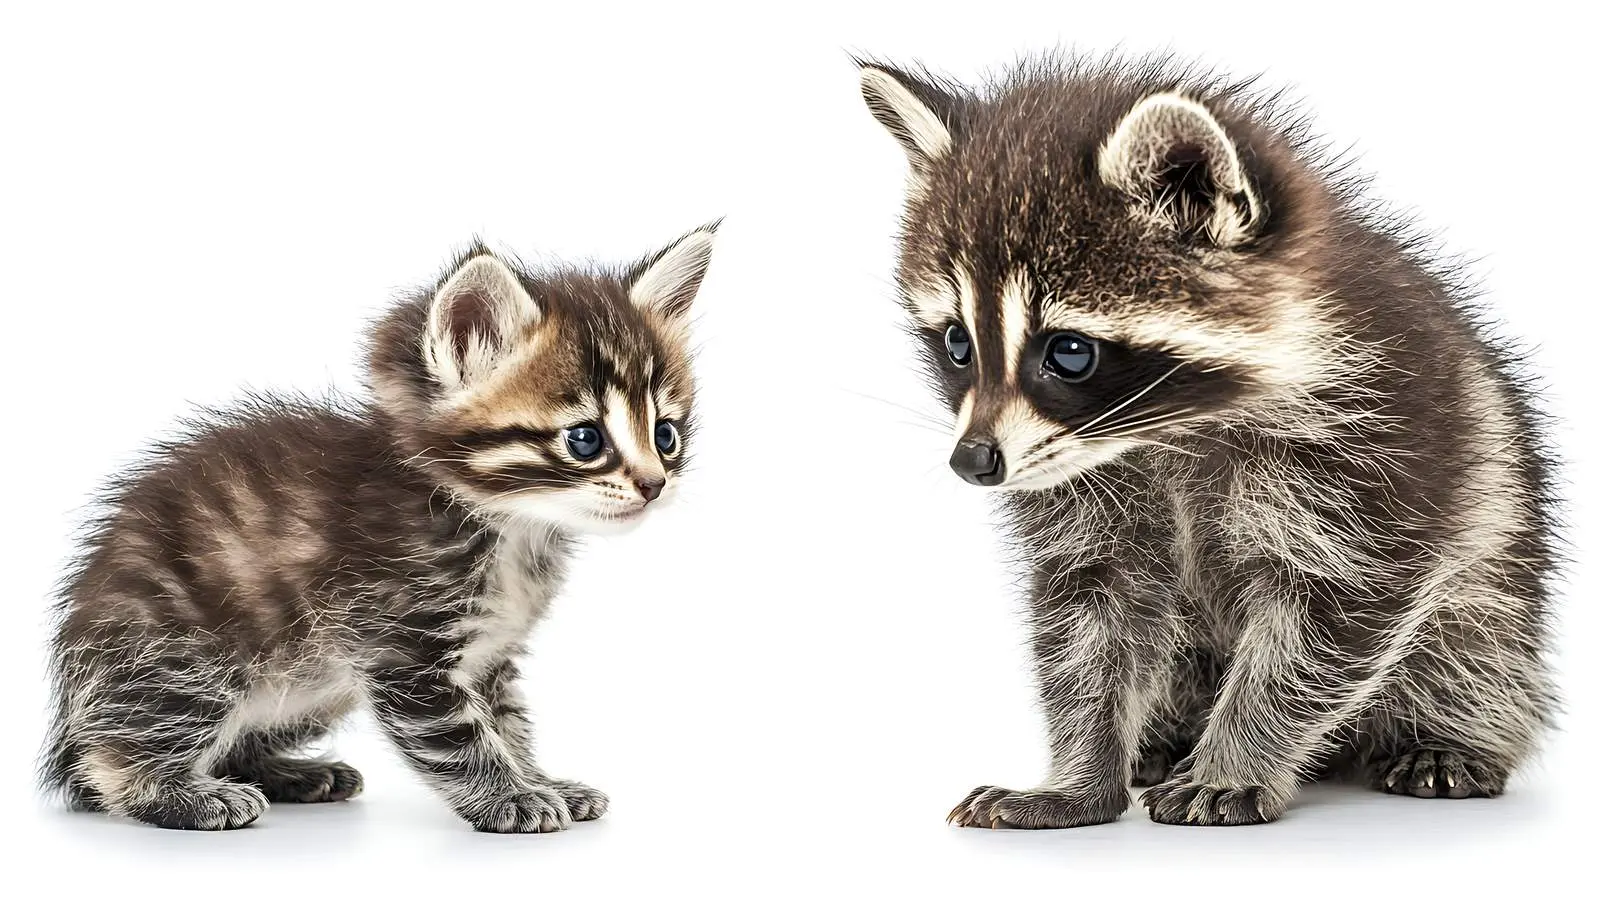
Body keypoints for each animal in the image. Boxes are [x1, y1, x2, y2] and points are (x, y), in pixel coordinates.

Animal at [41, 225, 717, 831]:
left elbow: (507, 723)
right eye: (585, 439)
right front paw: (510, 796)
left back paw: (293, 774)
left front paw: (542, 780)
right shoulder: (402, 647)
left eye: (666, 434)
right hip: (188, 657)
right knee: (111, 763)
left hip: (311, 687)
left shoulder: (489, 655)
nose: (654, 484)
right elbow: (460, 735)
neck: (508, 528)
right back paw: (182, 793)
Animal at [857, 55, 1558, 826]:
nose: (973, 462)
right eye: (958, 343)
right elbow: (1088, 626)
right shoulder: (1080, 495)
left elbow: (1319, 628)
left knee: (1474, 641)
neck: (1165, 433)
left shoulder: (1381, 453)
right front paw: (1078, 779)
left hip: (1498, 561)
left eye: (1069, 352)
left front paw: (1237, 759)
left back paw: (1445, 734)